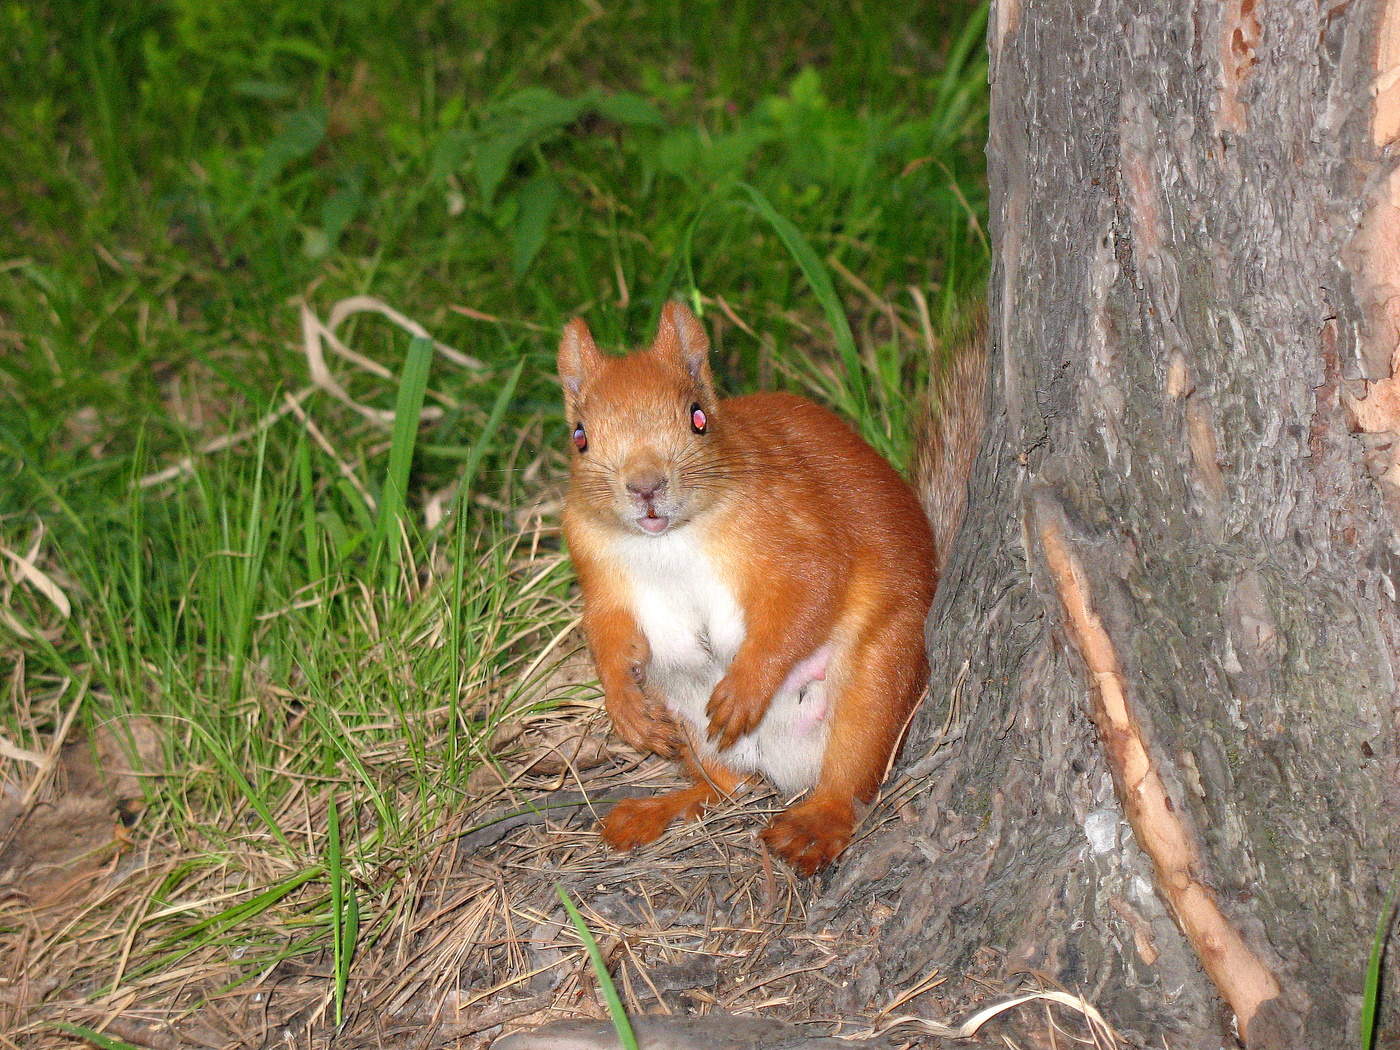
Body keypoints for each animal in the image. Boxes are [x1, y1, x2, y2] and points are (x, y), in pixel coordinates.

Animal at [558, 300, 985, 875]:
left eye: (698, 418)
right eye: (580, 436)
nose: (645, 487)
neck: (668, 541)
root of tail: (786, 768)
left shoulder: (797, 530)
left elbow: (807, 595)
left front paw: (745, 689)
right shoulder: (598, 570)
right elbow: (605, 633)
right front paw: (624, 708)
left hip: (881, 677)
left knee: (852, 771)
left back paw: (814, 823)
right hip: (687, 717)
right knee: (728, 786)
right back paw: (660, 808)